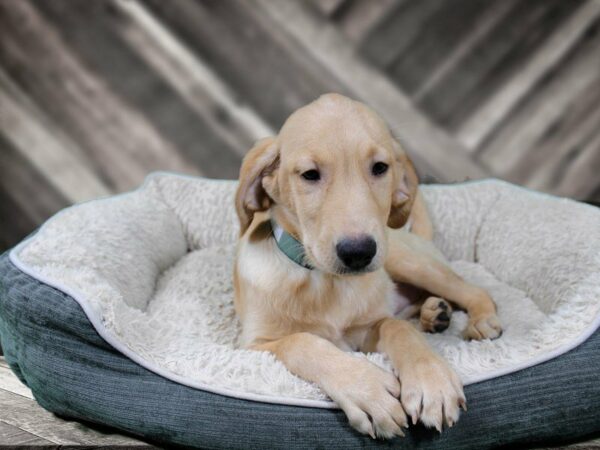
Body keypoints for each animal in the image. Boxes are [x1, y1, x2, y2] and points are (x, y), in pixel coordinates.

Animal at [232, 93, 500, 438]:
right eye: (309, 174)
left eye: (380, 168)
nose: (358, 252)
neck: (324, 282)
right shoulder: (254, 346)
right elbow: (303, 342)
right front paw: (368, 390)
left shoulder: (368, 329)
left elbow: (396, 328)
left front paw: (431, 380)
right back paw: (434, 314)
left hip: (404, 259)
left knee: (471, 291)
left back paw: (478, 318)